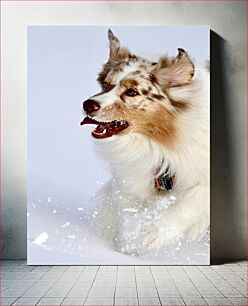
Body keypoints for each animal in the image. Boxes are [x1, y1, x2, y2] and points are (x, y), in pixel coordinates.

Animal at [81, 30, 209, 256]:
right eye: (106, 85)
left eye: (132, 92)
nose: (88, 105)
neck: (159, 145)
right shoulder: (132, 181)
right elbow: (128, 213)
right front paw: (129, 244)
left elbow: (190, 201)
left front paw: (155, 235)